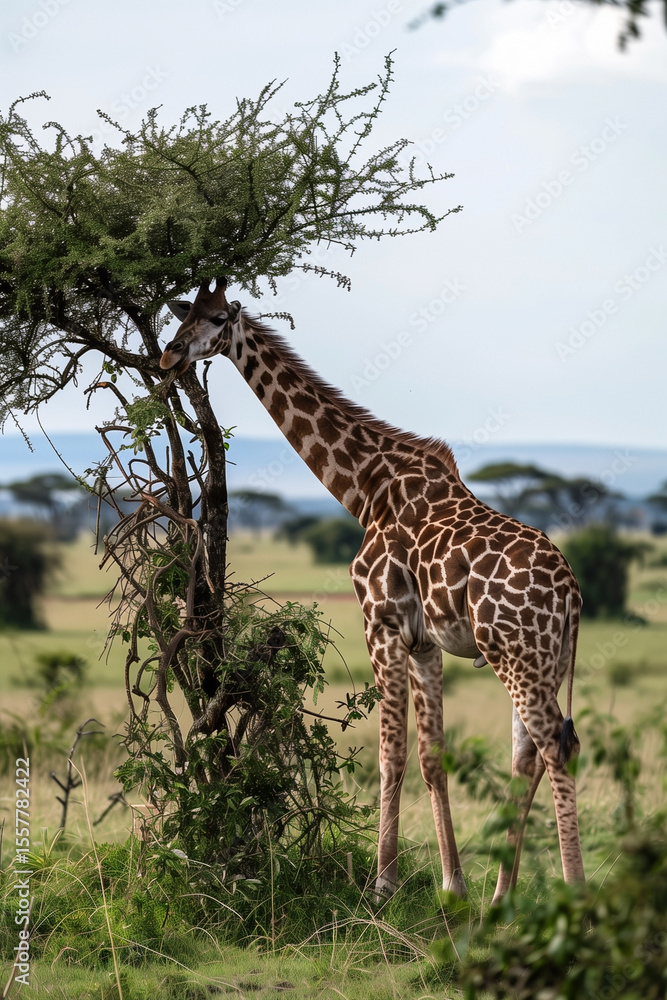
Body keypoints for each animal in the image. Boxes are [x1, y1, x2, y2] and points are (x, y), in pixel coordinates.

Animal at [160, 277, 585, 903]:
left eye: (216, 318)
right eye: (183, 313)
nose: (168, 355)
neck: (364, 487)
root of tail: (572, 594)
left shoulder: (380, 622)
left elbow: (390, 754)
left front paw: (383, 883)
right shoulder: (426, 641)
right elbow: (432, 757)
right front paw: (453, 885)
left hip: (517, 655)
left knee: (556, 745)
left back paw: (575, 893)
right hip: (541, 658)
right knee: (528, 753)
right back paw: (501, 896)